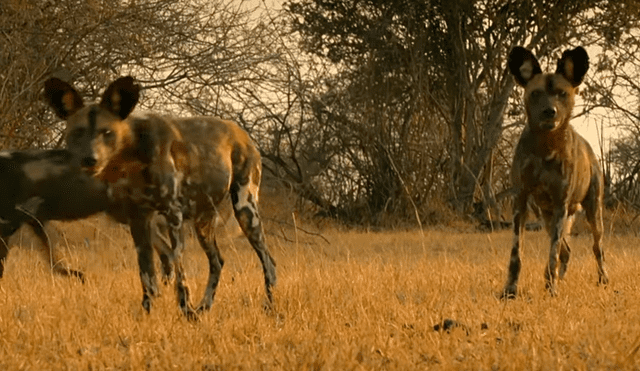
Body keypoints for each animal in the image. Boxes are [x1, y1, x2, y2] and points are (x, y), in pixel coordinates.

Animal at [43, 76, 276, 320]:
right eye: (78, 132)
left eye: (107, 133)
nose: (90, 159)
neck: (130, 159)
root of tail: (242, 132)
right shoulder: (138, 221)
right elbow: (147, 276)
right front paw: (147, 313)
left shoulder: (173, 216)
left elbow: (179, 274)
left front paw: (185, 311)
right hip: (203, 222)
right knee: (217, 262)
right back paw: (204, 307)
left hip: (246, 210)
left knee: (268, 263)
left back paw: (268, 307)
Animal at [500, 45, 608, 300]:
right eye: (535, 93)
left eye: (562, 93)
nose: (550, 112)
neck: (545, 147)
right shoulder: (520, 203)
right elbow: (516, 255)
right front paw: (510, 290)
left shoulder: (560, 205)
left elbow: (552, 256)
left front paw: (552, 290)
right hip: (545, 216)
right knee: (565, 251)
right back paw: (558, 278)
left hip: (592, 213)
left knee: (596, 248)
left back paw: (602, 279)